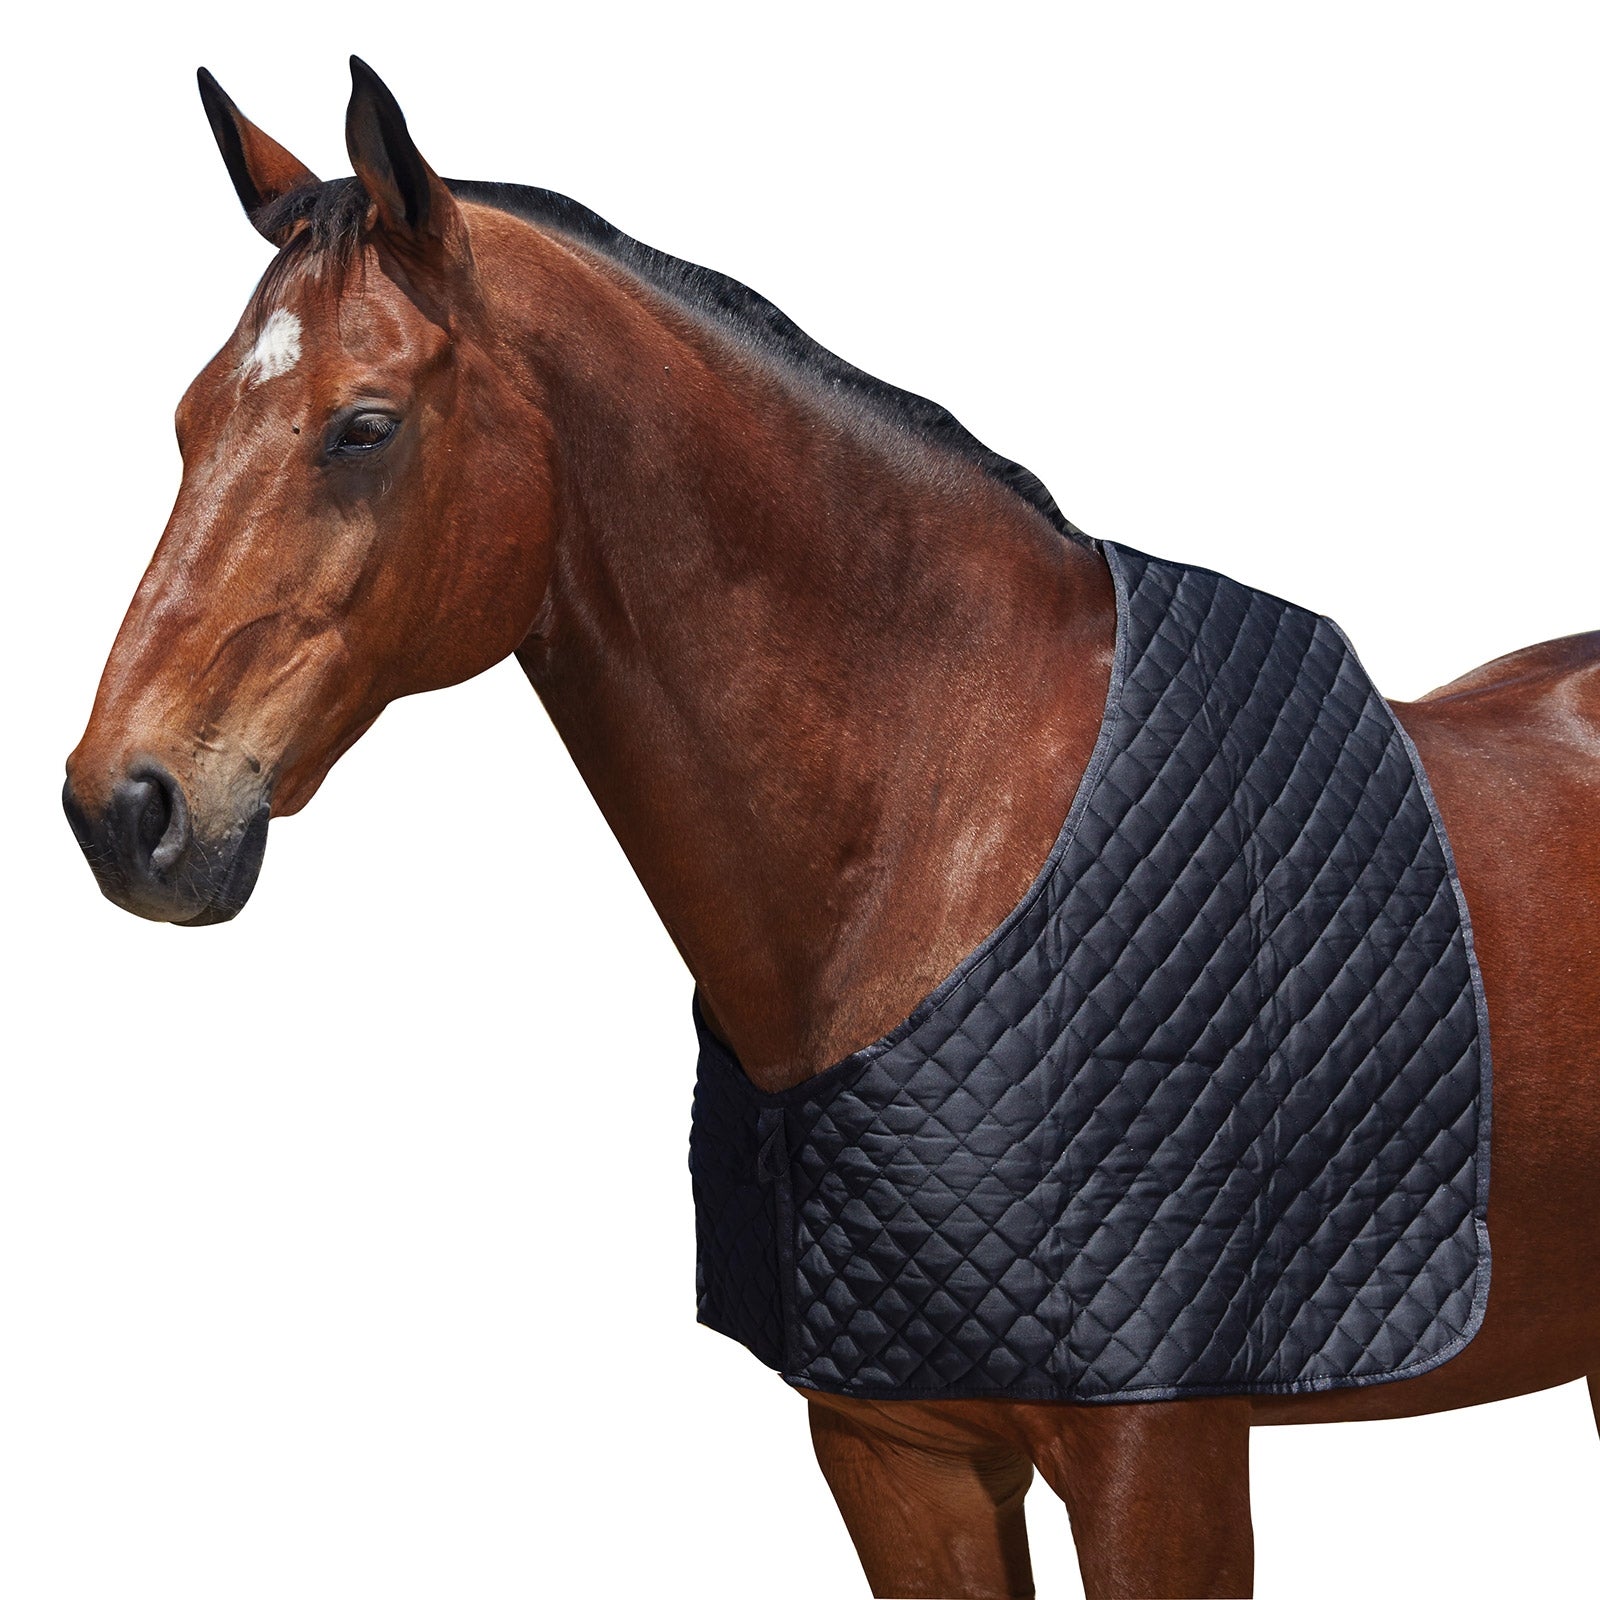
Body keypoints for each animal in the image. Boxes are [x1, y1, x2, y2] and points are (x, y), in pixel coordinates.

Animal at [62, 59, 1599, 1600]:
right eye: (188, 423)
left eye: (364, 426)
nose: (122, 807)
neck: (947, 830)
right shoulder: (895, 1452)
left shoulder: (1162, 1457)